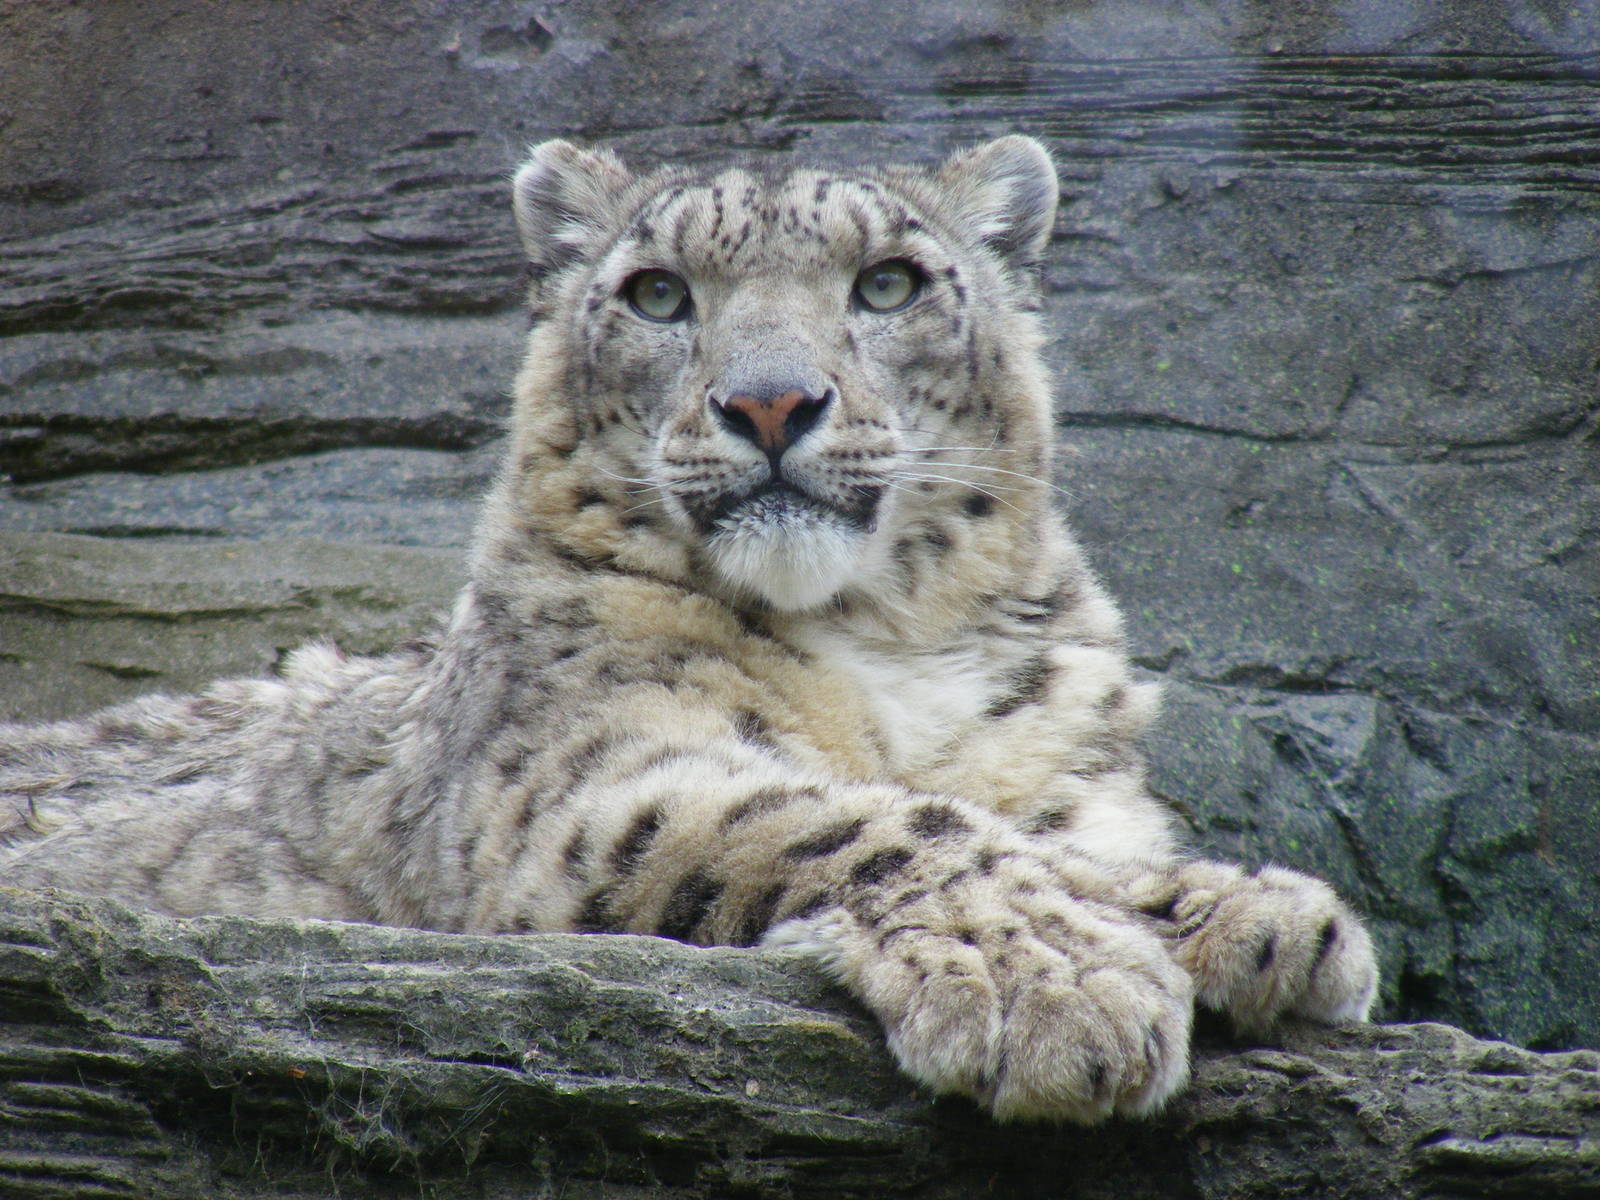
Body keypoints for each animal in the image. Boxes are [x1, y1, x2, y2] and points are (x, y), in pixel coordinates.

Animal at [0, 135, 1377, 1123]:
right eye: (658, 294)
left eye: (888, 282)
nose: (769, 403)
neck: (893, 640)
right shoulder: (582, 790)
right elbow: (869, 818)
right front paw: (1051, 983)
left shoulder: (1070, 785)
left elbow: (1046, 833)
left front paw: (1262, 916)